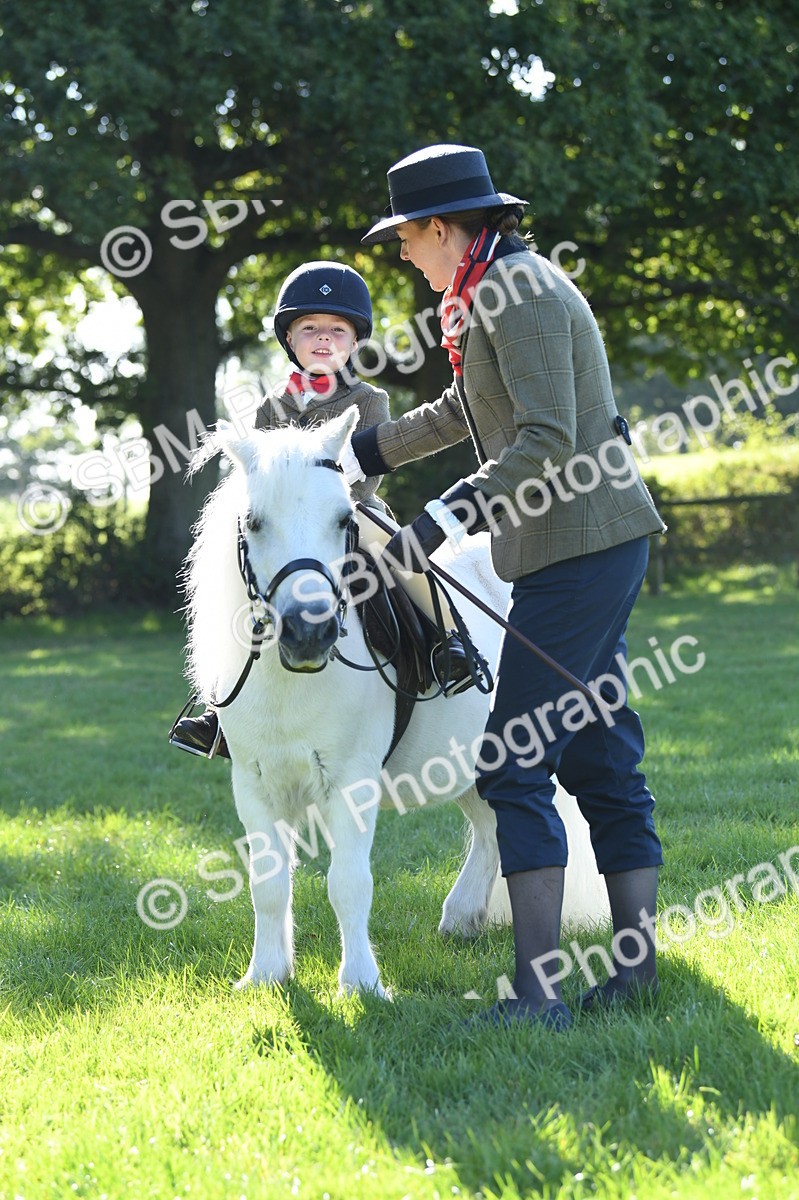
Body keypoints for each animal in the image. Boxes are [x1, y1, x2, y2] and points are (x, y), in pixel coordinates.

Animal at [183, 407, 609, 996]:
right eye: (254, 521)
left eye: (344, 519)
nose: (309, 632)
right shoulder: (254, 784)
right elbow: (267, 884)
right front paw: (266, 975)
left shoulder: (351, 782)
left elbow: (348, 883)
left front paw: (361, 983)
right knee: (491, 828)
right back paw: (463, 917)